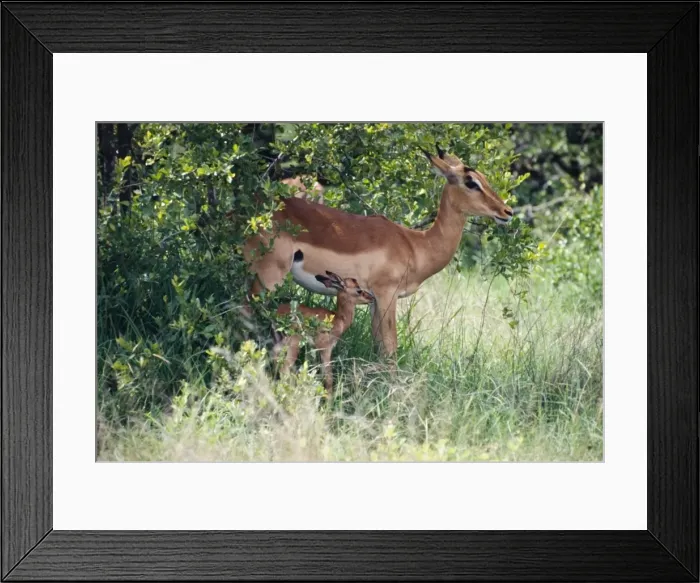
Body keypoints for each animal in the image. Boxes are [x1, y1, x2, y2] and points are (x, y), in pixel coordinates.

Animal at [243, 144, 513, 358]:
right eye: (471, 182)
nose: (507, 211)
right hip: (268, 277)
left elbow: (378, 345)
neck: (415, 245)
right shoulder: (386, 295)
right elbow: (390, 347)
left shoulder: (374, 300)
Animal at [271, 253, 375, 400]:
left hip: (281, 341)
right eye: (359, 290)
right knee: (285, 366)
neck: (338, 319)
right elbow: (329, 377)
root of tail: (278, 313)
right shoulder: (325, 348)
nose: (371, 298)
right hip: (294, 343)